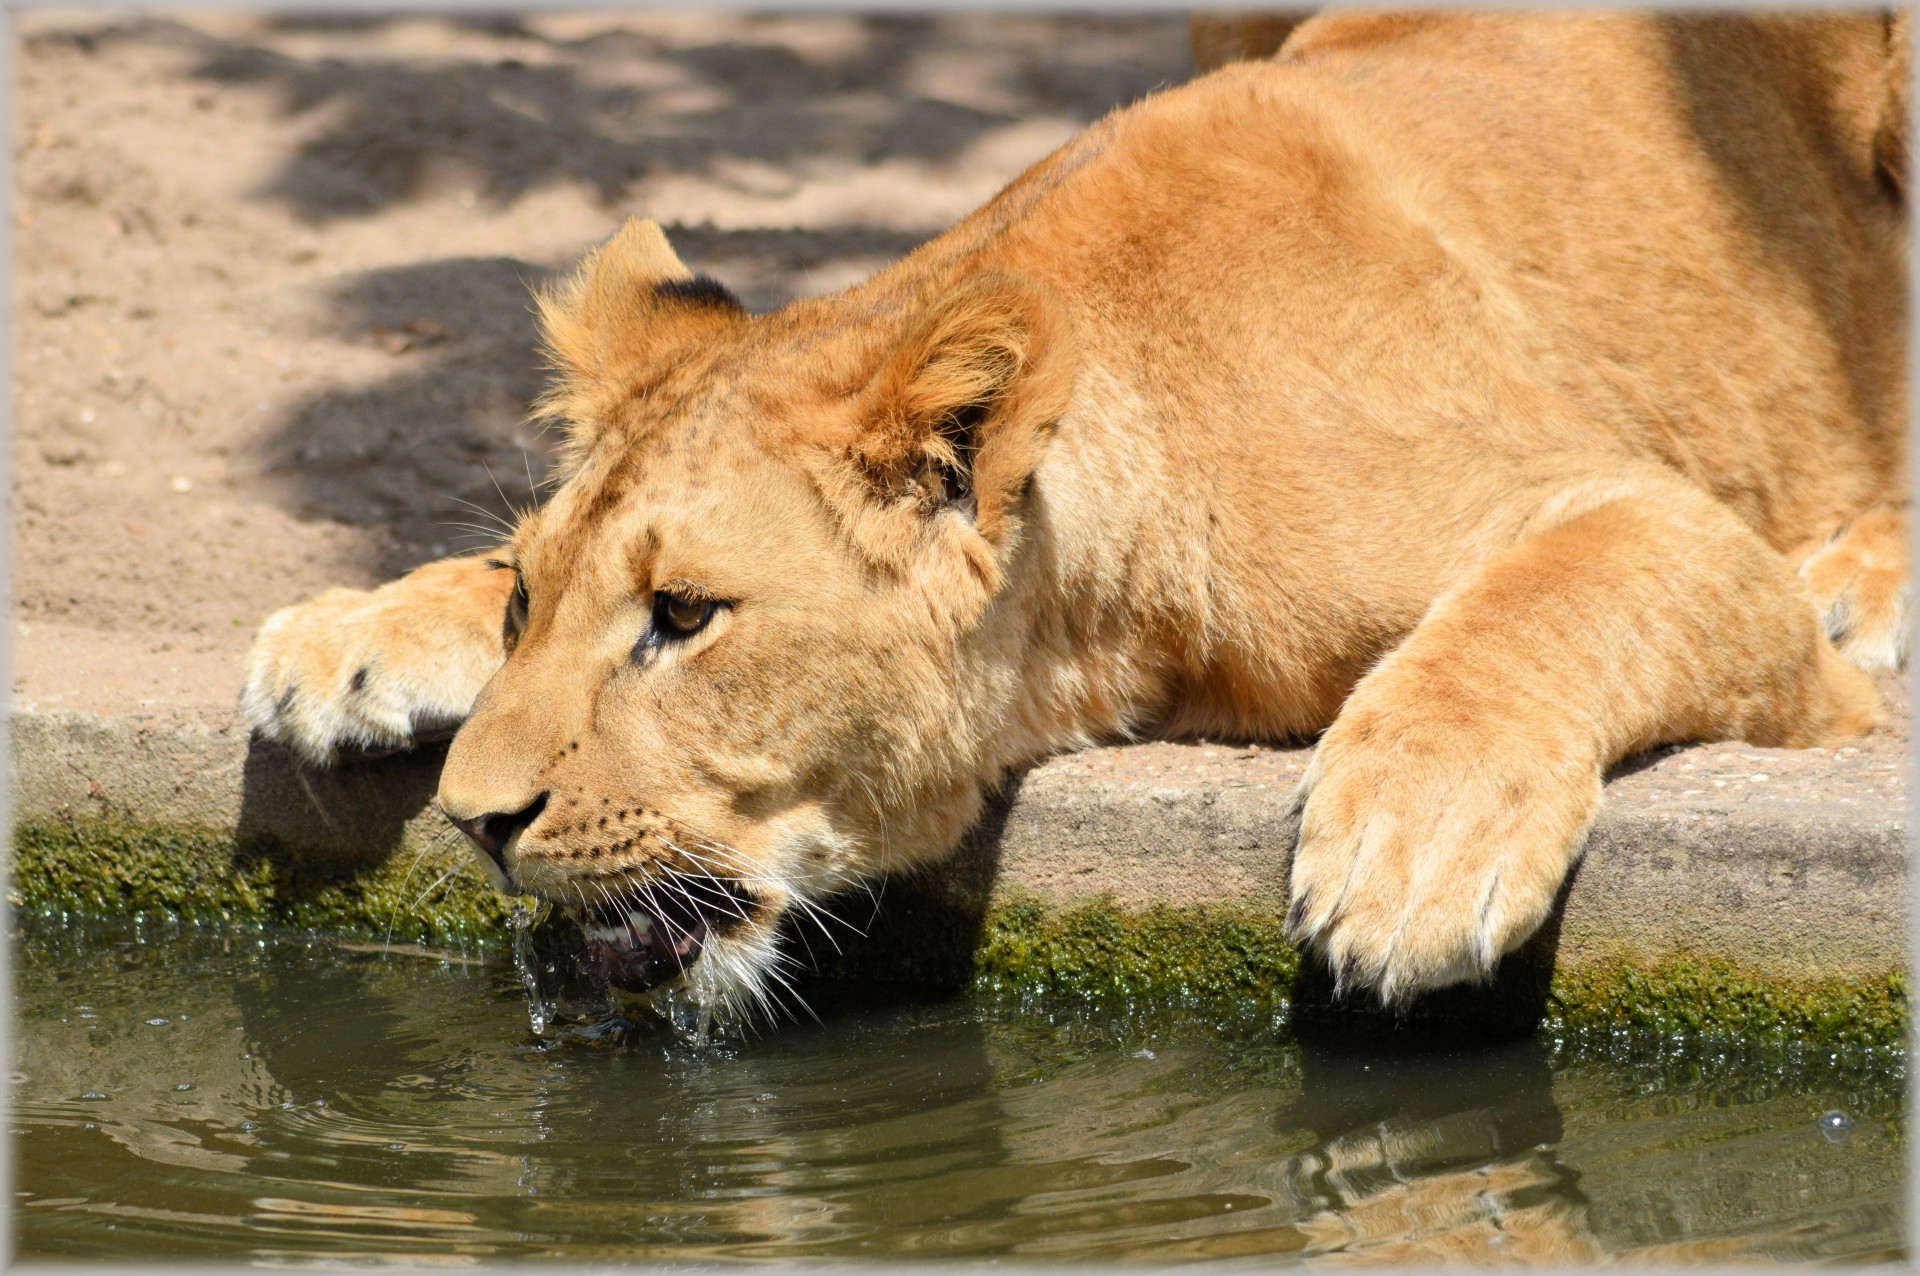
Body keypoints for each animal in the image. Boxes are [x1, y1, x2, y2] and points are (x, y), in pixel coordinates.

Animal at [240, 12, 1904, 1028]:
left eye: (686, 619)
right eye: (531, 600)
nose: (476, 820)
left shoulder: (1660, 520)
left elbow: (1541, 602)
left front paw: (1412, 850)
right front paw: (356, 630)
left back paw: (1871, 582)